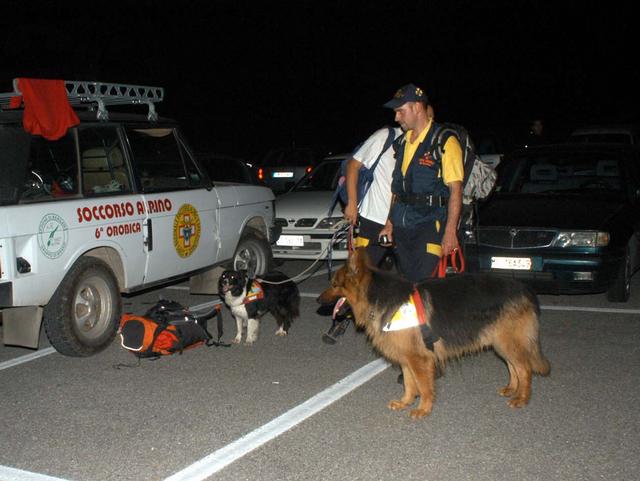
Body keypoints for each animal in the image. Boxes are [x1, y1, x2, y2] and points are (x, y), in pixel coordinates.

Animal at [318, 249, 548, 418]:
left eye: (334, 285)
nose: (318, 301)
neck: (377, 297)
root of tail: (525, 289)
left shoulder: (420, 359)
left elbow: (423, 386)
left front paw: (423, 409)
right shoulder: (407, 357)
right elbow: (409, 383)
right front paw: (405, 402)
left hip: (508, 342)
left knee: (525, 369)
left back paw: (522, 398)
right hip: (501, 342)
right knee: (513, 366)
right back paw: (512, 389)